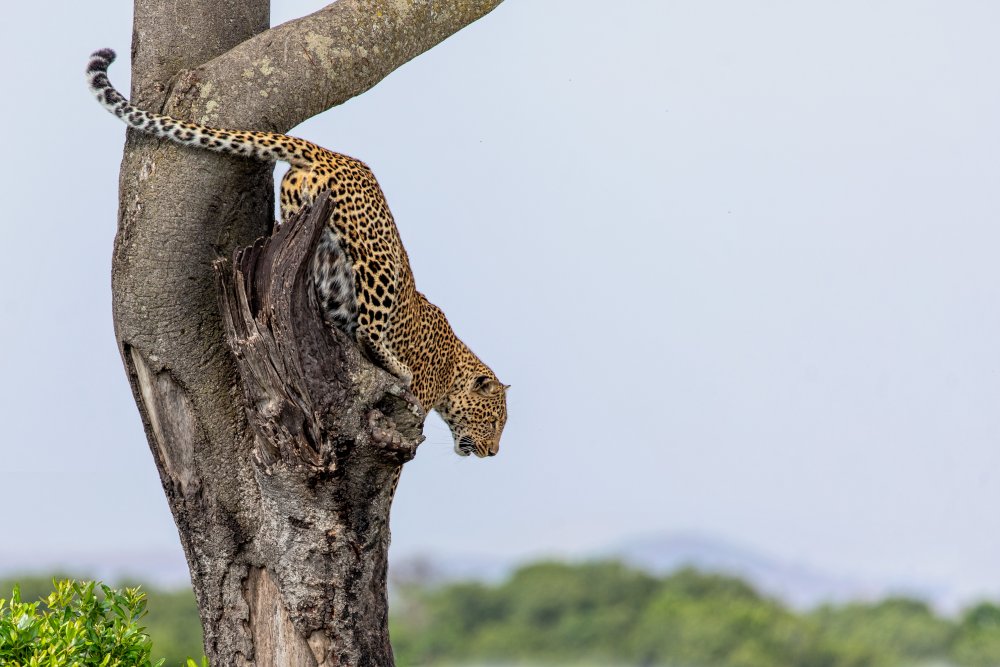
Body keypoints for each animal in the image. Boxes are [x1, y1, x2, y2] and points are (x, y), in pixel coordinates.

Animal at [86, 47, 508, 460]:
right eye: (494, 422)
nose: (492, 452)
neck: (453, 367)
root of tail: (328, 153)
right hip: (377, 256)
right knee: (368, 327)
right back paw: (393, 365)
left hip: (304, 222)